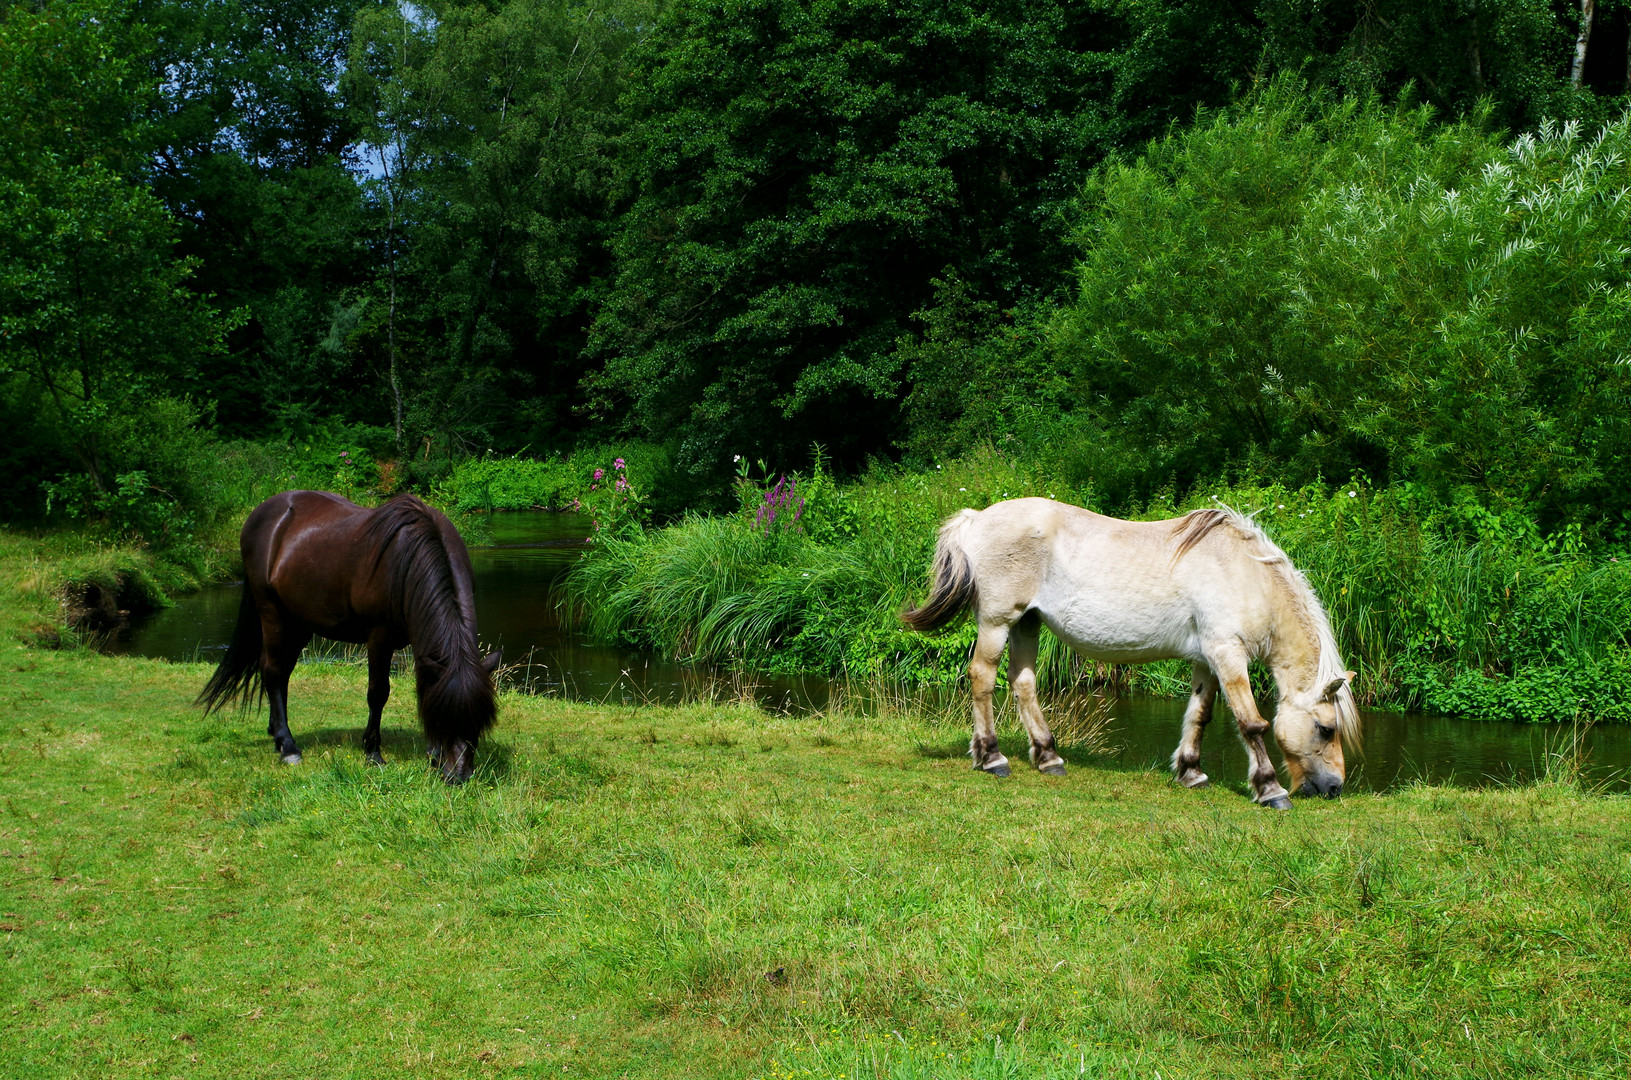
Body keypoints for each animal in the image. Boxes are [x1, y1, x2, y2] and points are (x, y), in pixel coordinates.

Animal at [195, 492, 495, 786]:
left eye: (479, 720)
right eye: (445, 719)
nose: (458, 775)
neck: (406, 560)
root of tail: (260, 514)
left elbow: (423, 689)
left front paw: (432, 752)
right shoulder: (379, 636)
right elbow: (378, 693)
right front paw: (373, 752)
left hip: (299, 621)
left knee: (280, 671)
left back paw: (276, 734)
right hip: (271, 611)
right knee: (272, 670)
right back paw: (288, 746)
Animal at [906, 499, 1363, 812]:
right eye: (1326, 729)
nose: (1335, 787)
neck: (1243, 572)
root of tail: (976, 518)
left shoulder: (1206, 660)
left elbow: (1200, 715)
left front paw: (1191, 772)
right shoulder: (1227, 654)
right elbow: (1252, 724)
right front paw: (1270, 789)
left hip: (1027, 622)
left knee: (1023, 682)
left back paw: (1049, 757)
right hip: (998, 621)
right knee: (983, 677)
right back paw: (992, 757)